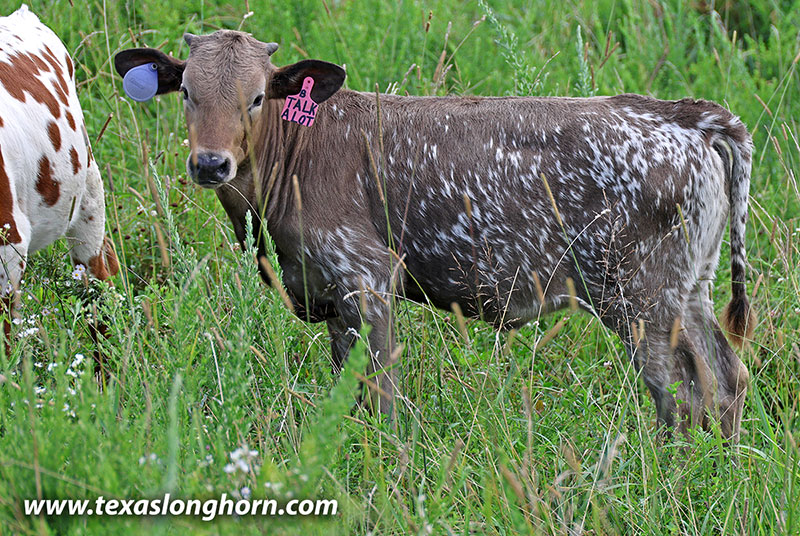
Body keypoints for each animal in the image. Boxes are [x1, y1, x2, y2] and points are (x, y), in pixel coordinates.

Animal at [115, 30, 755, 441]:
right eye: (188, 93)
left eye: (255, 97)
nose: (210, 164)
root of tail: (682, 117)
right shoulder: (329, 295)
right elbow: (348, 389)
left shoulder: (368, 275)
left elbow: (382, 393)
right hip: (690, 288)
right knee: (726, 380)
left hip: (640, 297)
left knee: (681, 392)